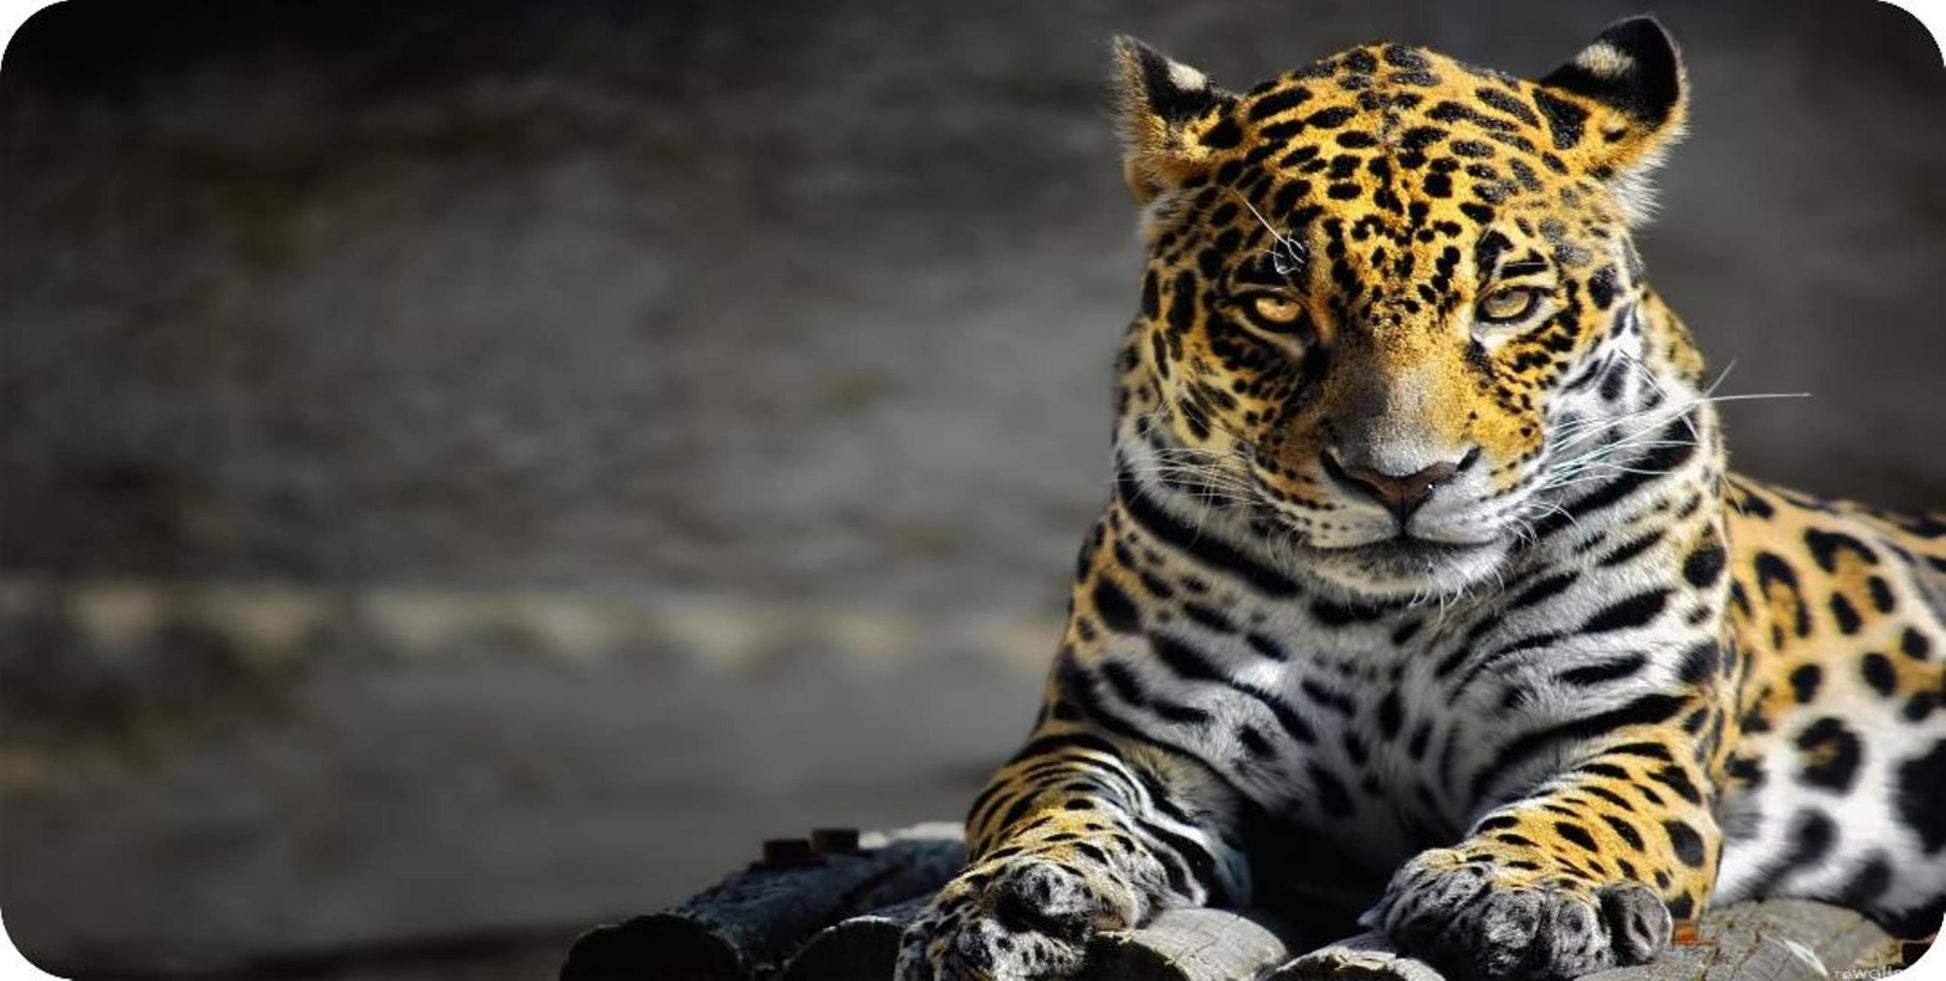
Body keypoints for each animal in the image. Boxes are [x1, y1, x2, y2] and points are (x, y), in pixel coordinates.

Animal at [891, 15, 1946, 981]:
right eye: (1277, 308)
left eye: (1509, 303)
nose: (1402, 478)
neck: (1388, 621)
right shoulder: (1122, 732)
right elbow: (1054, 801)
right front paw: (1006, 900)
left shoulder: (1634, 727)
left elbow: (1587, 810)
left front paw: (1515, 890)